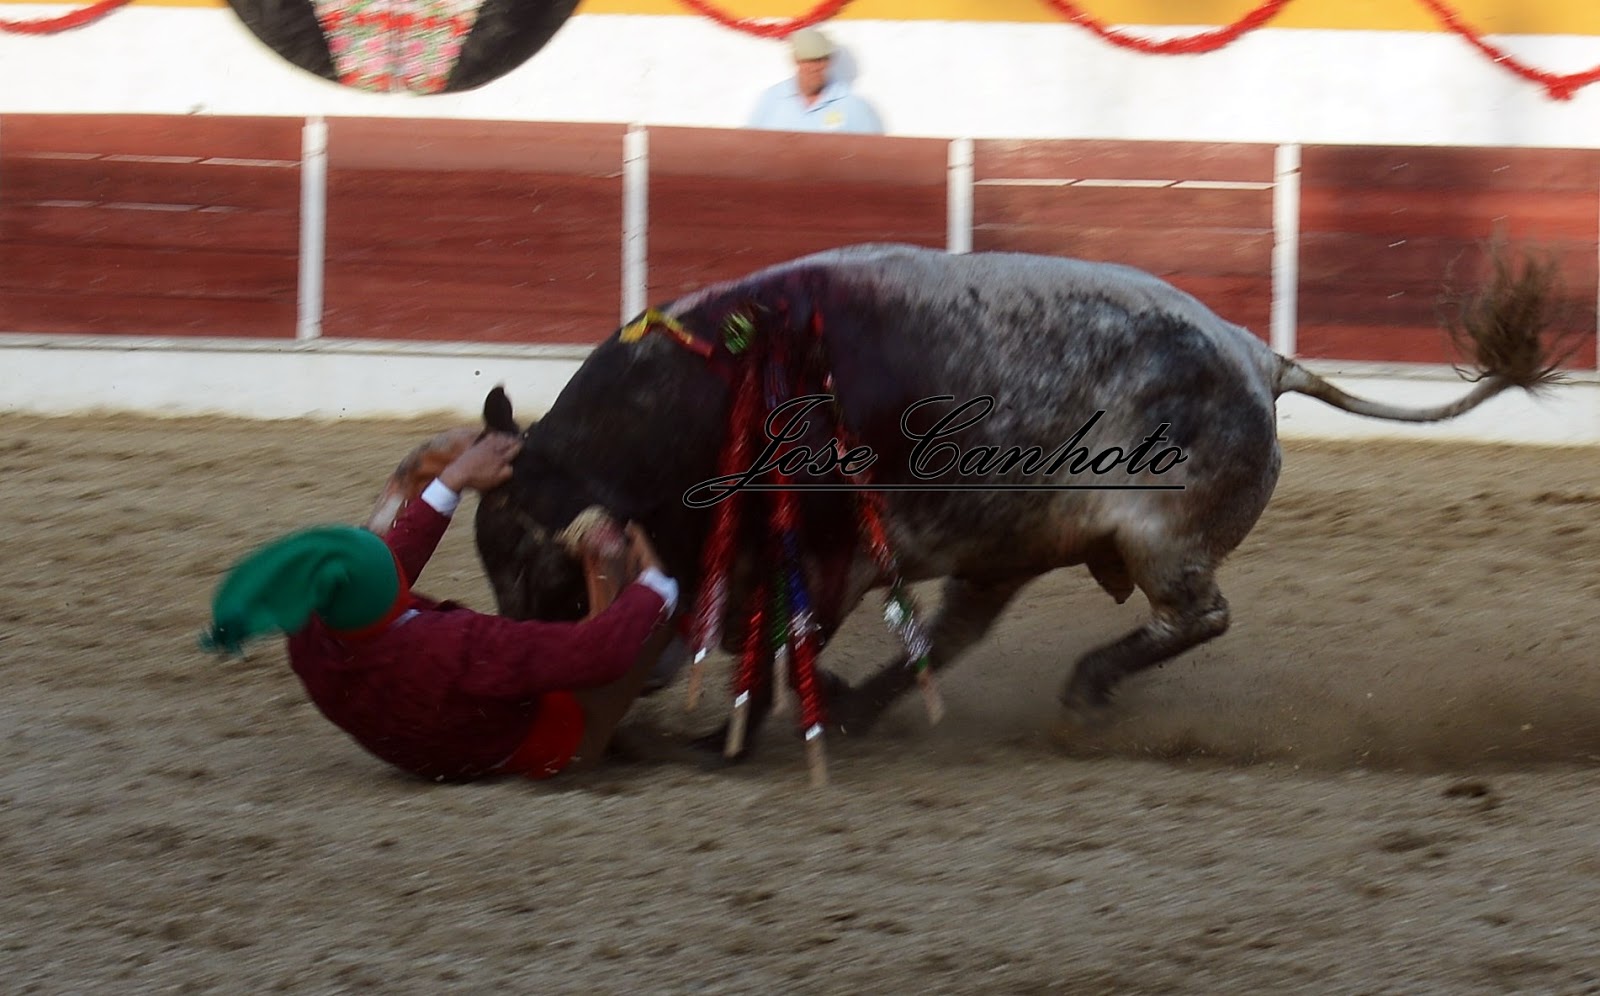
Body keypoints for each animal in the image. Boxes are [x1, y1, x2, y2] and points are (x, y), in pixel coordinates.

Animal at [469, 243, 1567, 757]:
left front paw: (724, 737)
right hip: (1008, 548)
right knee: (958, 633)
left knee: (1197, 615)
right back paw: (871, 707)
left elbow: (773, 641)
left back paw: (1084, 689)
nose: (526, 688)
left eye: (534, 565)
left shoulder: (818, 555)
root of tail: (1258, 355)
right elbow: (763, 637)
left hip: (1162, 538)